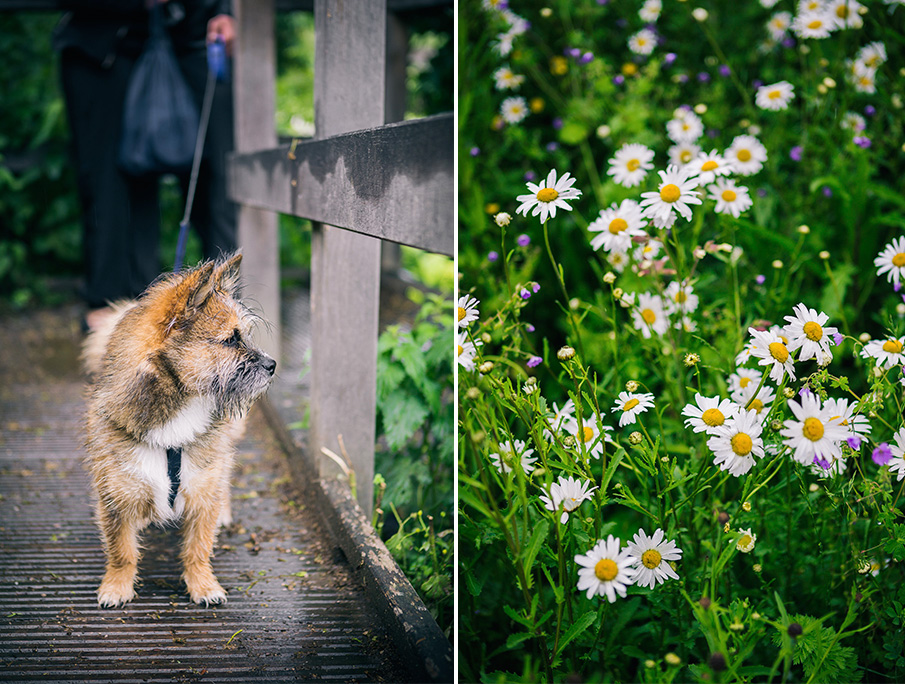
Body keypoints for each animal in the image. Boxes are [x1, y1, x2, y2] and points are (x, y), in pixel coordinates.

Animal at [84, 254, 276, 608]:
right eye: (230, 339)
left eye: (244, 336)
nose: (272, 365)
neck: (179, 411)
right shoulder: (115, 495)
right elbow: (121, 550)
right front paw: (117, 586)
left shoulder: (202, 490)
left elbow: (198, 548)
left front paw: (203, 585)